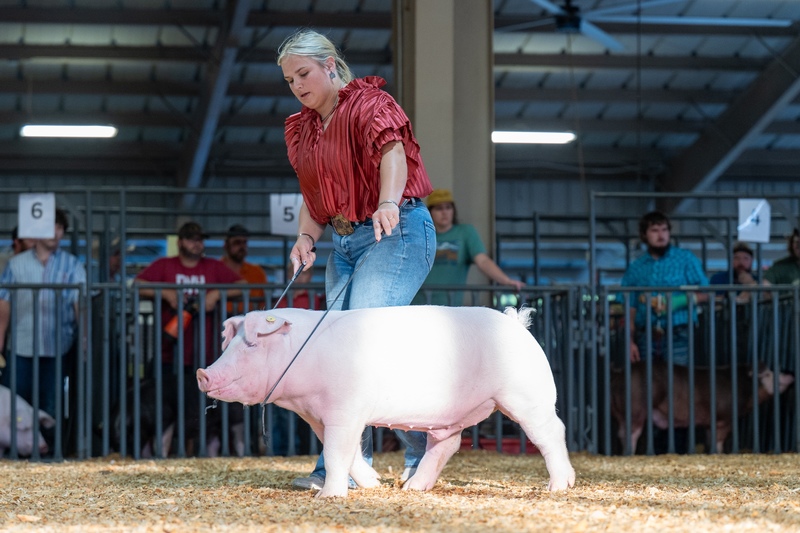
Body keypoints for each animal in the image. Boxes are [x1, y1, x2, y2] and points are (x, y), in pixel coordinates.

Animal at [197, 306, 575, 498]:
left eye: (251, 344)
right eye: (231, 343)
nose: (203, 373)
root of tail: (517, 324)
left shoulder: (345, 408)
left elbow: (336, 453)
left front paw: (328, 497)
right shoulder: (318, 416)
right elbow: (344, 453)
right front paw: (374, 484)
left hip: (526, 396)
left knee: (552, 432)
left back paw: (559, 486)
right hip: (453, 416)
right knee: (447, 445)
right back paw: (412, 487)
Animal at [611, 360, 795, 454]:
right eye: (768, 374)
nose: (790, 373)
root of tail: (620, 373)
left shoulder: (709, 423)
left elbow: (710, 439)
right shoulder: (725, 418)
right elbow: (719, 439)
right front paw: (719, 453)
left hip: (620, 412)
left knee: (621, 433)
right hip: (636, 408)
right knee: (632, 433)